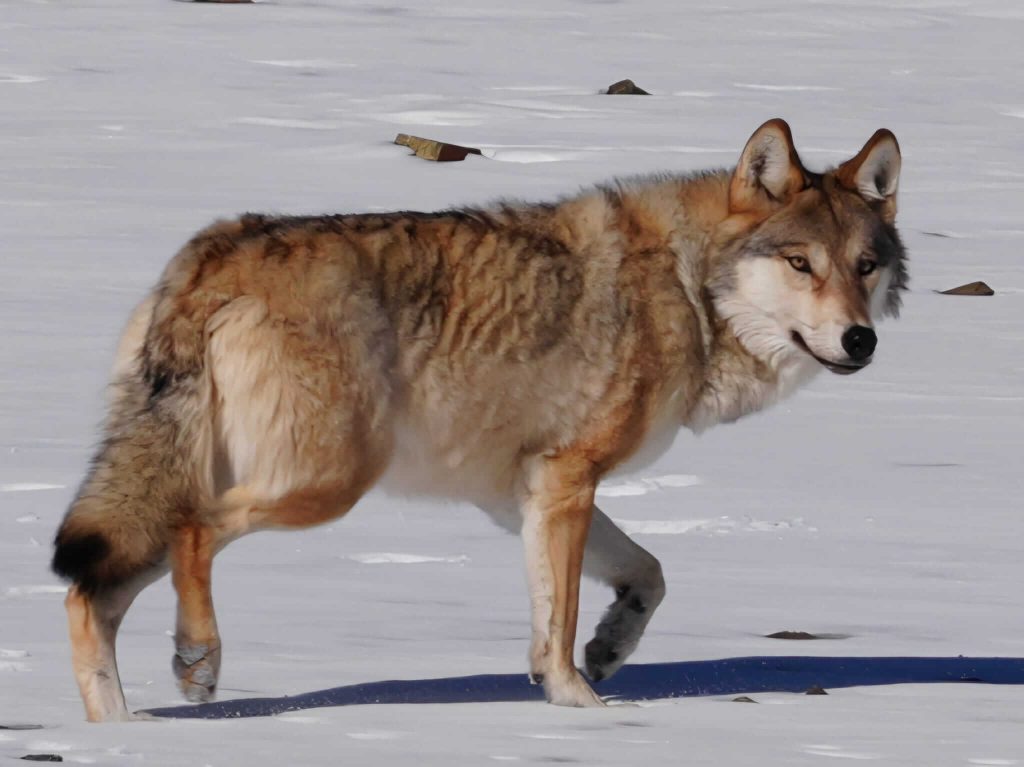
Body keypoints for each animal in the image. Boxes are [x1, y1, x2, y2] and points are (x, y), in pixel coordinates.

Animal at [51, 119, 906, 721]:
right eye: (801, 264)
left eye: (865, 266)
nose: (861, 340)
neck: (688, 287)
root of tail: (211, 253)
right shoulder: (568, 479)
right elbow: (561, 618)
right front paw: (582, 702)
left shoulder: (521, 492)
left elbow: (643, 576)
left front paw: (607, 649)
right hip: (323, 484)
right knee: (192, 535)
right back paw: (199, 661)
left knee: (89, 596)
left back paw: (121, 730)